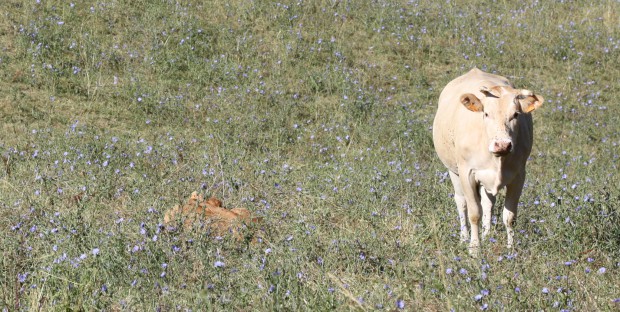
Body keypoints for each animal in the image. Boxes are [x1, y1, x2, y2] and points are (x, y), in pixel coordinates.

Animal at [434, 68, 544, 256]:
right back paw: (464, 237)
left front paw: (511, 249)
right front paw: (474, 248)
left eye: (515, 114)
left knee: (488, 204)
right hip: (453, 170)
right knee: (461, 202)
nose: (502, 144)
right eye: (486, 113)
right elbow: (474, 213)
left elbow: (509, 216)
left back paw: (486, 235)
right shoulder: (467, 173)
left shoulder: (518, 175)